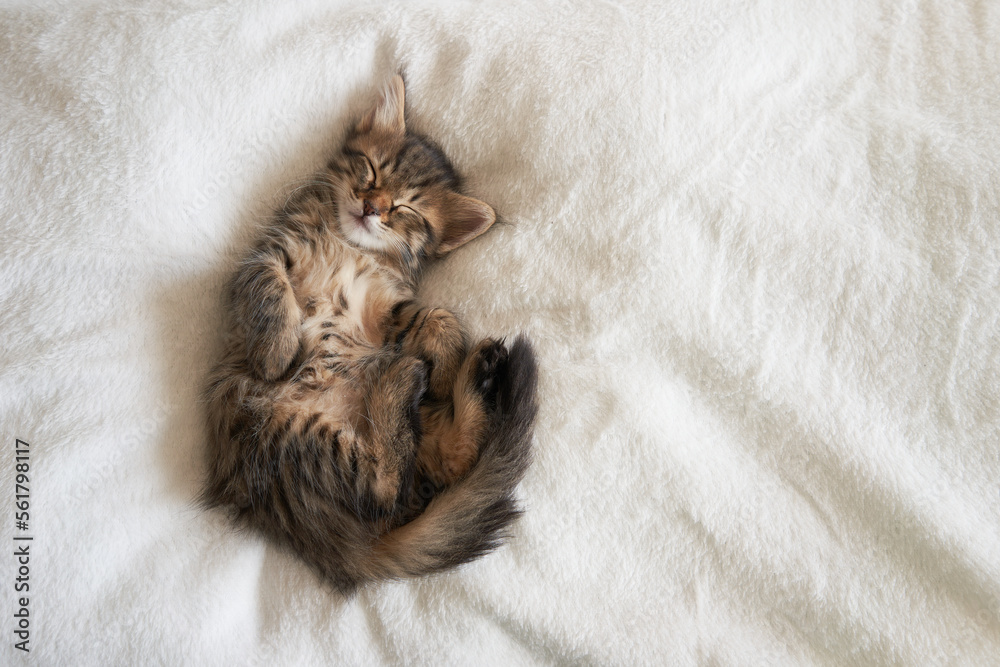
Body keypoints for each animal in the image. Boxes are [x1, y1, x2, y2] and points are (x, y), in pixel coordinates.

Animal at [202, 74, 540, 596]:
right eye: (372, 170)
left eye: (406, 209)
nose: (371, 207)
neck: (346, 244)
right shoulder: (264, 256)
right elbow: (270, 290)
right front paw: (277, 353)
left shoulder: (385, 309)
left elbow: (438, 316)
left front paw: (445, 368)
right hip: (290, 433)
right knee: (395, 484)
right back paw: (419, 378)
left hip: (348, 435)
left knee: (416, 475)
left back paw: (454, 376)